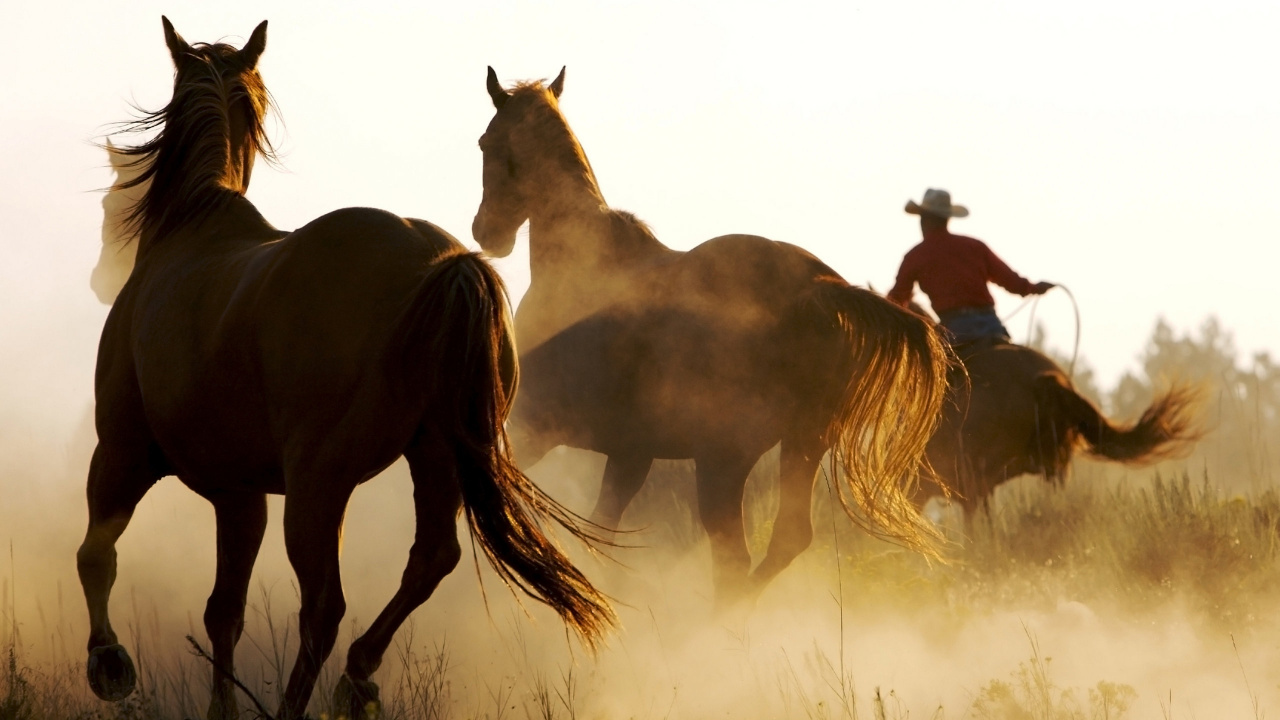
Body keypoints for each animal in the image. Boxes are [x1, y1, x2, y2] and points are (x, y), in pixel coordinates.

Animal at [79, 20, 612, 720]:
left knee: (323, 608)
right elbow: (224, 612)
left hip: (318, 486)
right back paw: (357, 677)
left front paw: (109, 663)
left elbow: (97, 557)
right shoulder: (240, 494)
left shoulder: (121, 453)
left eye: (115, 202)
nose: (99, 277)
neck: (190, 229)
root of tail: (441, 265)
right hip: (432, 458)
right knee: (428, 561)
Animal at [471, 67, 954, 607]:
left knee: (735, 559)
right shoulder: (631, 453)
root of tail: (818, 288)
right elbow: (603, 530)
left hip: (724, 460)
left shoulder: (535, 426)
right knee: (782, 542)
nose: (487, 232)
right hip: (800, 444)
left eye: (485, 142)